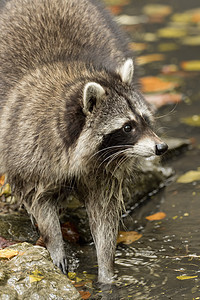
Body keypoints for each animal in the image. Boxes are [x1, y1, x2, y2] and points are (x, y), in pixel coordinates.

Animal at [0, 0, 168, 284]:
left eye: (145, 120)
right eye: (127, 127)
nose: (161, 147)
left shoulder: (106, 166)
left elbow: (104, 215)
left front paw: (106, 270)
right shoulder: (29, 148)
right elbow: (39, 202)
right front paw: (55, 242)